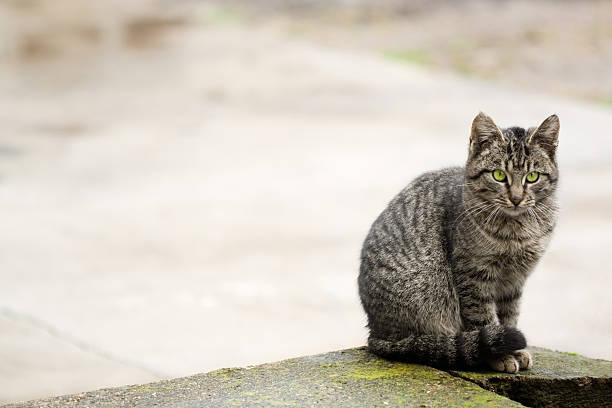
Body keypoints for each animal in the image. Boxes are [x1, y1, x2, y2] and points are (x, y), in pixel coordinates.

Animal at [358, 111, 560, 372]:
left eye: (532, 177)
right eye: (499, 175)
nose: (516, 198)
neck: (516, 232)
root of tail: (375, 334)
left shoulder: (514, 280)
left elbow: (509, 315)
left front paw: (515, 351)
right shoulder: (474, 275)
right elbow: (485, 319)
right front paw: (500, 356)